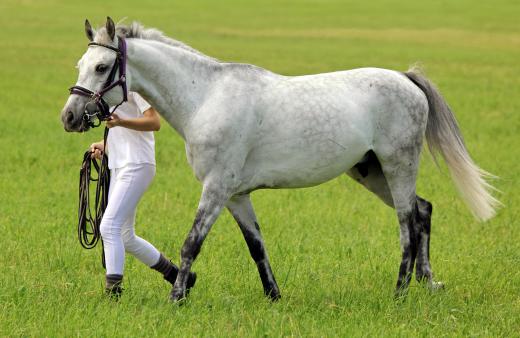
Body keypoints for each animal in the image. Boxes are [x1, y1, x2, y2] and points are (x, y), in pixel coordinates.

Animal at [62, 18, 500, 302]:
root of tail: (406, 79)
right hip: (371, 172)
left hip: (397, 166)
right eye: (80, 65)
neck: (205, 96)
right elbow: (257, 246)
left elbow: (191, 244)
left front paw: (176, 299)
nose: (69, 117)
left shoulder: (216, 189)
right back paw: (427, 283)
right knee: (423, 211)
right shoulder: (236, 196)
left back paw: (401, 292)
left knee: (408, 223)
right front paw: (274, 295)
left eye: (102, 66)